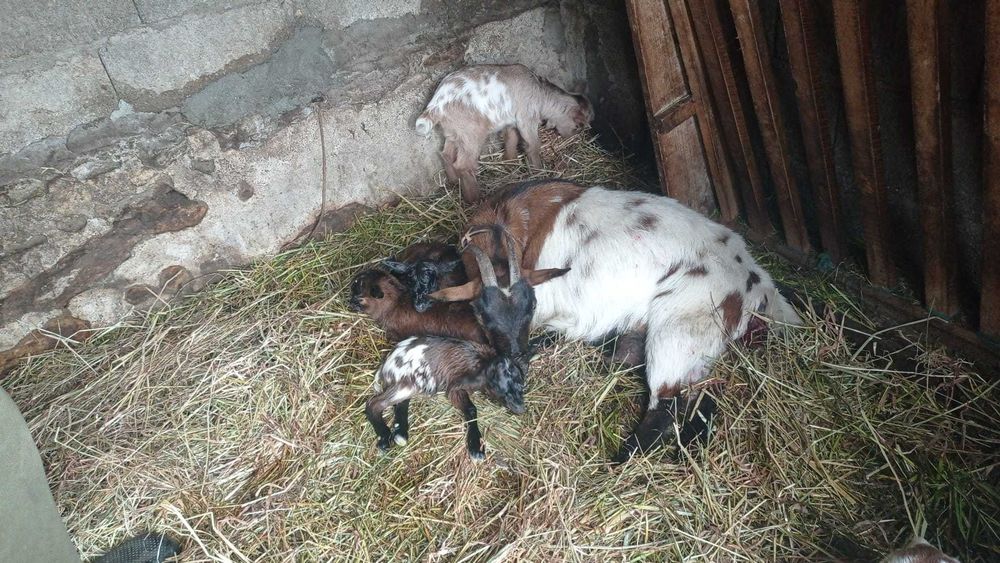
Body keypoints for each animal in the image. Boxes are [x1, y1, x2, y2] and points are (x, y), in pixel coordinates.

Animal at [364, 240, 568, 459]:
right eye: (482, 312)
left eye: (533, 305)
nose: (516, 355)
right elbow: (470, 408)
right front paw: (475, 446)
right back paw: (387, 437)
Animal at [415, 64, 593, 204]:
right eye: (578, 126)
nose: (570, 136)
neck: (542, 96)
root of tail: (436, 106)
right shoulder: (526, 118)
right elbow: (533, 145)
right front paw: (539, 171)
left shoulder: (511, 122)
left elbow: (511, 139)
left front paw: (510, 161)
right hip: (471, 134)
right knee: (463, 164)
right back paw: (474, 198)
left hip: (454, 132)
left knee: (446, 154)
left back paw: (453, 181)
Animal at [429, 179, 803, 461]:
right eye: (483, 312)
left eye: (530, 307)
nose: (516, 358)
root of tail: (754, 279)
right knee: (703, 395)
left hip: (679, 327)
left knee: (666, 405)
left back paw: (621, 459)